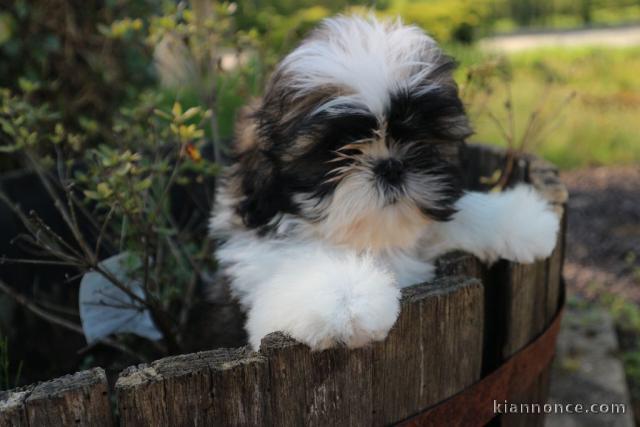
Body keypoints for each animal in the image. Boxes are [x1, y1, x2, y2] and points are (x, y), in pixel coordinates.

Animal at [210, 15, 560, 352]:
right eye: (338, 150)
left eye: (419, 136)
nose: (391, 166)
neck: (376, 239)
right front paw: (344, 298)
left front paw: (521, 220)